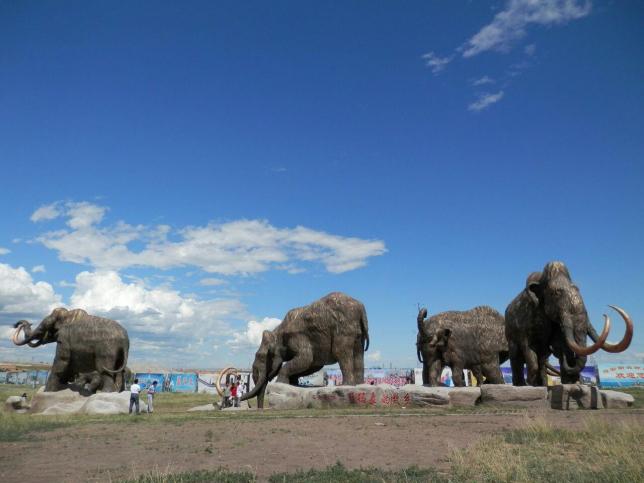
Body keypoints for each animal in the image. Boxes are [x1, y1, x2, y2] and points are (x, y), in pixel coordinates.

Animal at [241, 292, 369, 408]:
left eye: (261, 357)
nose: (240, 398)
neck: (278, 330)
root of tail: (361, 307)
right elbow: (312, 365)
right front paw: (293, 384)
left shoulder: (297, 337)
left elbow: (306, 359)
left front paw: (280, 383)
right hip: (358, 333)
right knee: (359, 354)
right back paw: (359, 384)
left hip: (343, 327)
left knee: (340, 352)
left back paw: (345, 385)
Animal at [505, 261, 633, 386]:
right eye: (556, 293)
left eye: (577, 288)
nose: (604, 314)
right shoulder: (524, 323)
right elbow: (528, 348)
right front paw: (530, 384)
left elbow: (563, 344)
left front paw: (570, 383)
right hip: (510, 335)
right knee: (516, 357)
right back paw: (522, 384)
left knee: (541, 358)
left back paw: (541, 384)